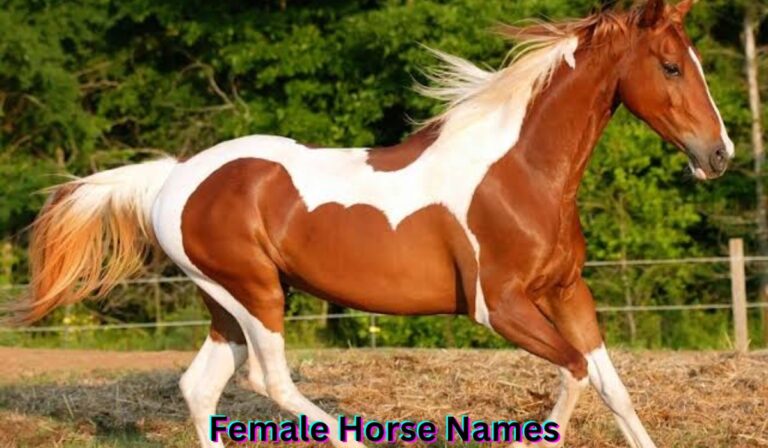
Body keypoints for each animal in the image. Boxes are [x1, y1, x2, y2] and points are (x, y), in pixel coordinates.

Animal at [11, 0, 733, 446]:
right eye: (671, 66)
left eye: (695, 63)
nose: (718, 154)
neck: (519, 171)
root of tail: (173, 176)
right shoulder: (498, 306)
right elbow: (575, 374)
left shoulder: (566, 291)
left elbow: (612, 386)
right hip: (255, 295)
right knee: (269, 381)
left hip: (226, 302)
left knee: (200, 387)